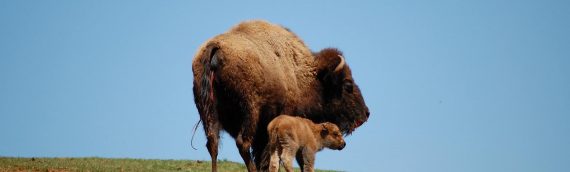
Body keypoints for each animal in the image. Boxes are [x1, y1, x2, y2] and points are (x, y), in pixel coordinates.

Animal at [191, 19, 368, 171]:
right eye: (348, 85)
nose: (366, 113)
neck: (304, 75)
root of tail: (215, 47)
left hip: (208, 111)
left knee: (213, 143)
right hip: (250, 111)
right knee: (243, 143)